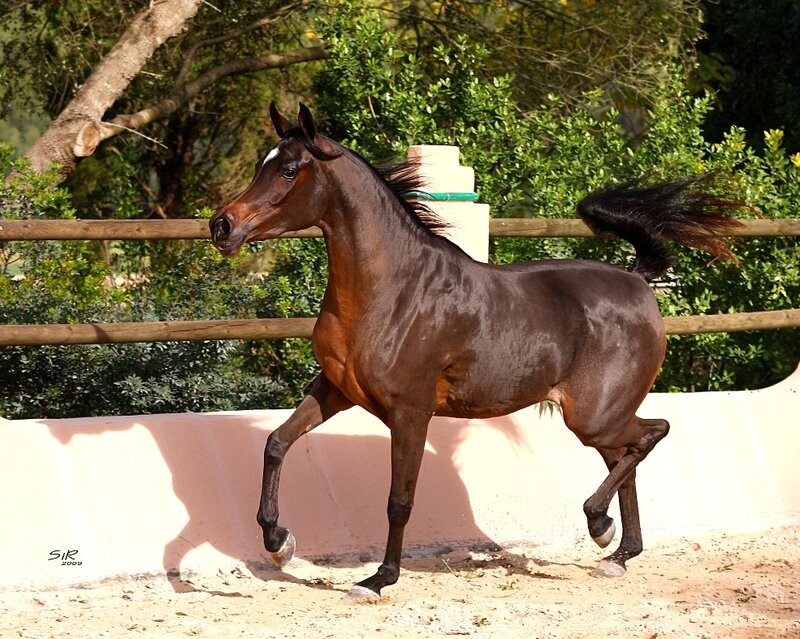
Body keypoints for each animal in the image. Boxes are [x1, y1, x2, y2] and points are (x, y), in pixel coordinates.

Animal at [209, 102, 743, 601]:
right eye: (261, 164)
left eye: (288, 170)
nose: (222, 226)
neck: (392, 289)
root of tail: (638, 280)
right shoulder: (335, 390)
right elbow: (276, 442)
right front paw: (279, 543)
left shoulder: (411, 412)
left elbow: (399, 500)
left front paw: (379, 579)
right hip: (599, 418)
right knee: (626, 456)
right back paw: (617, 552)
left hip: (594, 416)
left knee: (653, 433)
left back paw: (598, 524)